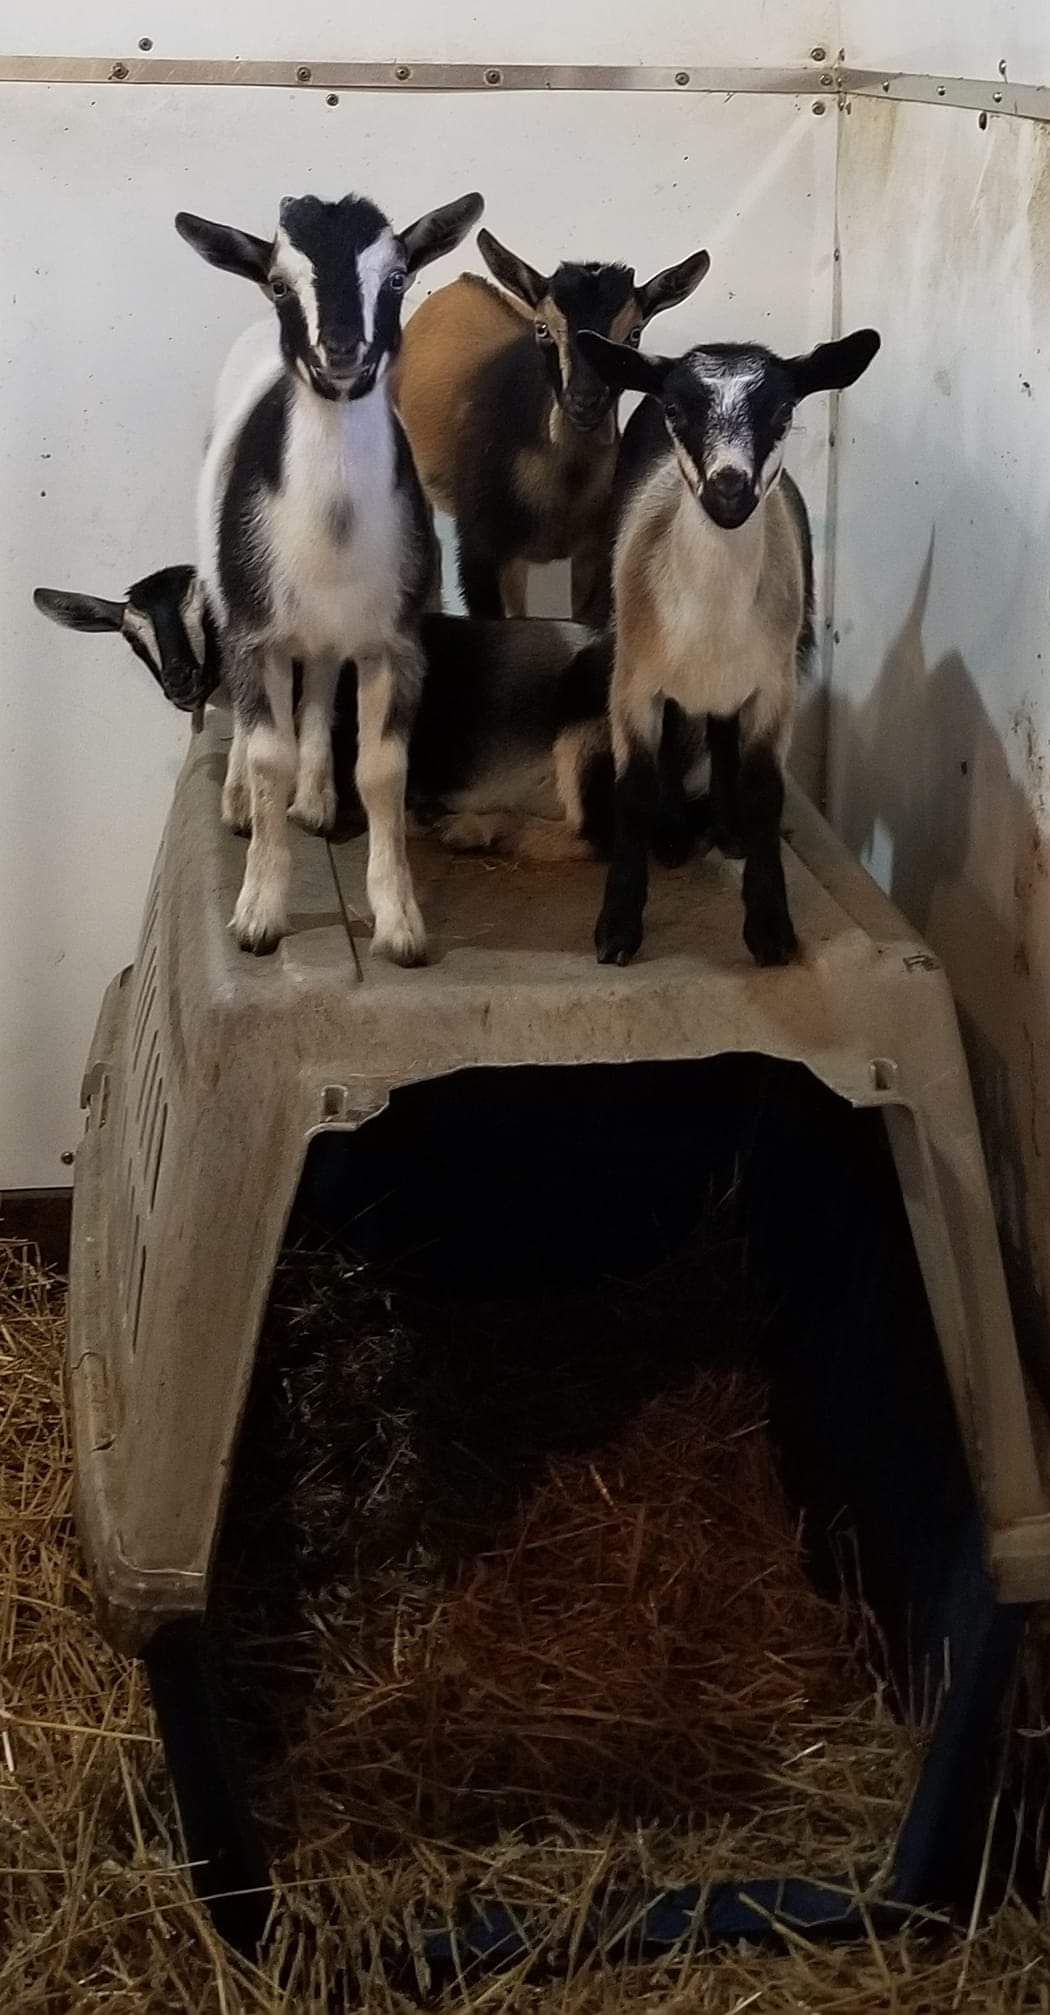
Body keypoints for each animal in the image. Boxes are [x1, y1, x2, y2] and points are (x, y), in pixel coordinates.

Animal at [36, 564, 707, 868]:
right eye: (132, 637)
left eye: (211, 613)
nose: (181, 681)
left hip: (585, 738)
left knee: (598, 836)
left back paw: (467, 829)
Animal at [175, 186, 482, 961]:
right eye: (282, 282)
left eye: (397, 277)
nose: (341, 352)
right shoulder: (254, 632)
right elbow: (266, 757)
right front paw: (258, 914)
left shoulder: (394, 642)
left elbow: (382, 770)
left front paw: (400, 923)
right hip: (233, 602)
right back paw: (240, 804)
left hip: (324, 629)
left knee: (315, 679)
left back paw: (314, 800)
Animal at [395, 232, 710, 625]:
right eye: (543, 328)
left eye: (634, 334)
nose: (585, 400)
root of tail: (460, 283)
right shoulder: (485, 554)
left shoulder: (591, 553)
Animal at [577, 325, 881, 967]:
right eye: (675, 409)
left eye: (784, 409)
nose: (729, 488)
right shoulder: (632, 685)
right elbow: (632, 789)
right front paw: (616, 931)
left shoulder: (774, 689)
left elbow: (765, 790)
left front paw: (770, 929)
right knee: (679, 733)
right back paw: (672, 837)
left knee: (719, 731)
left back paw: (728, 829)